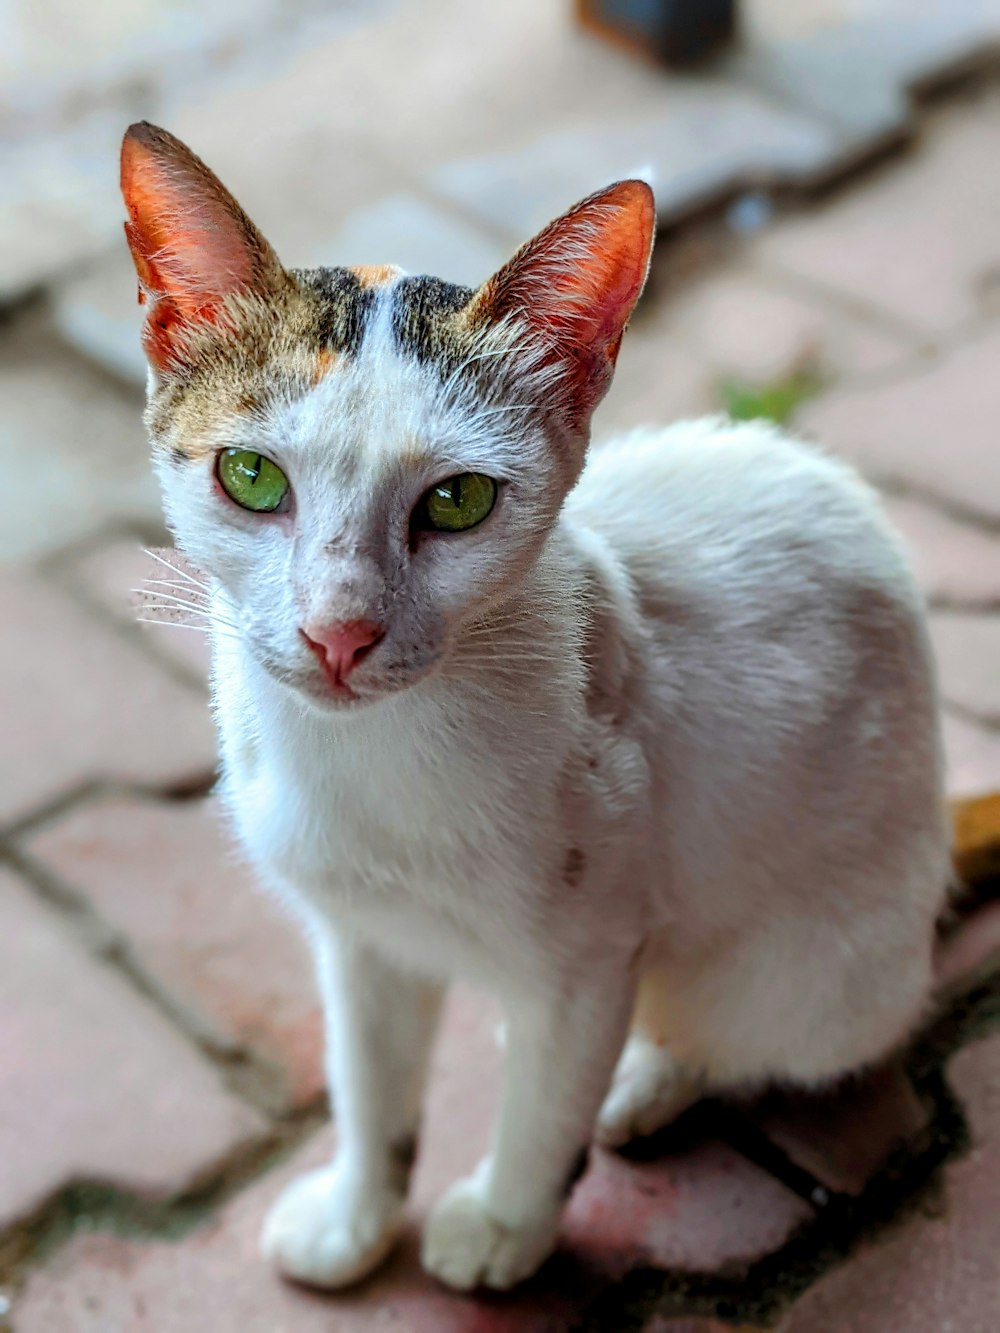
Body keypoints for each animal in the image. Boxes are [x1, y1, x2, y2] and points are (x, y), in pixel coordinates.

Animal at [121, 122, 949, 1290]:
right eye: (249, 477)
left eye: (458, 499)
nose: (339, 632)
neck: (370, 764)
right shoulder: (358, 941)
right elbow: (368, 1084)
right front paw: (355, 1219)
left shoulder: (589, 955)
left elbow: (545, 1101)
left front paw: (507, 1226)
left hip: (811, 978)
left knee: (737, 1033)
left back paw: (646, 1079)